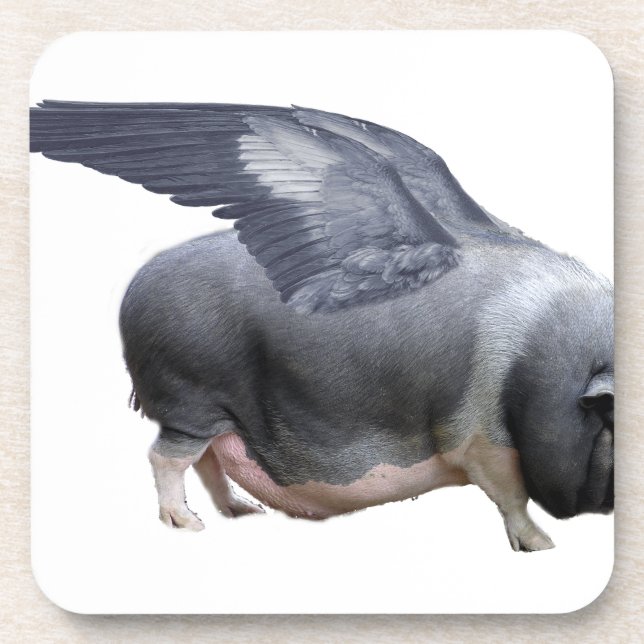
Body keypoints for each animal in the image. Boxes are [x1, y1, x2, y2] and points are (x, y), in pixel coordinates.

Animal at [30, 101, 614, 551]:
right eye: (609, 426)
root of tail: (134, 287)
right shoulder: (480, 436)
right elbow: (509, 494)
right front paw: (543, 547)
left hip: (216, 412)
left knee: (209, 459)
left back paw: (242, 513)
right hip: (188, 396)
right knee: (167, 456)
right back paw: (189, 526)